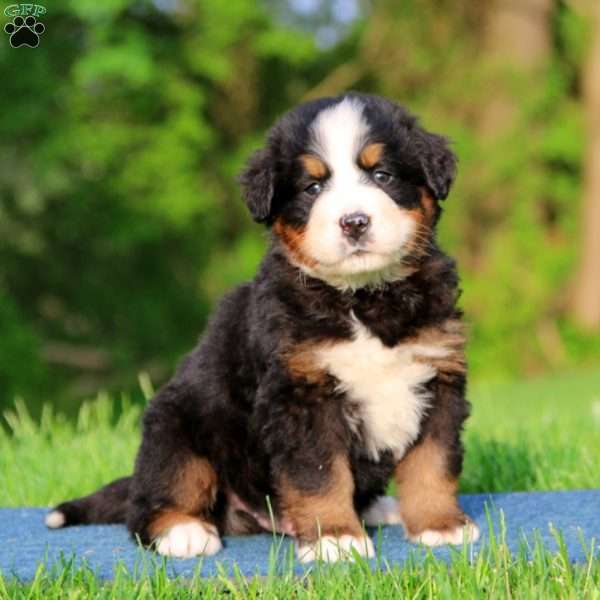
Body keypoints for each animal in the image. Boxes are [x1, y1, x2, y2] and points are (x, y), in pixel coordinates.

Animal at [45, 92, 478, 564]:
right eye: (312, 188)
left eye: (383, 175)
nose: (354, 222)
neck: (363, 297)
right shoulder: (301, 396)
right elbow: (320, 474)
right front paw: (335, 538)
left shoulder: (438, 378)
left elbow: (432, 463)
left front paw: (439, 525)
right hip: (176, 426)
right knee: (153, 499)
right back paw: (183, 531)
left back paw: (380, 508)